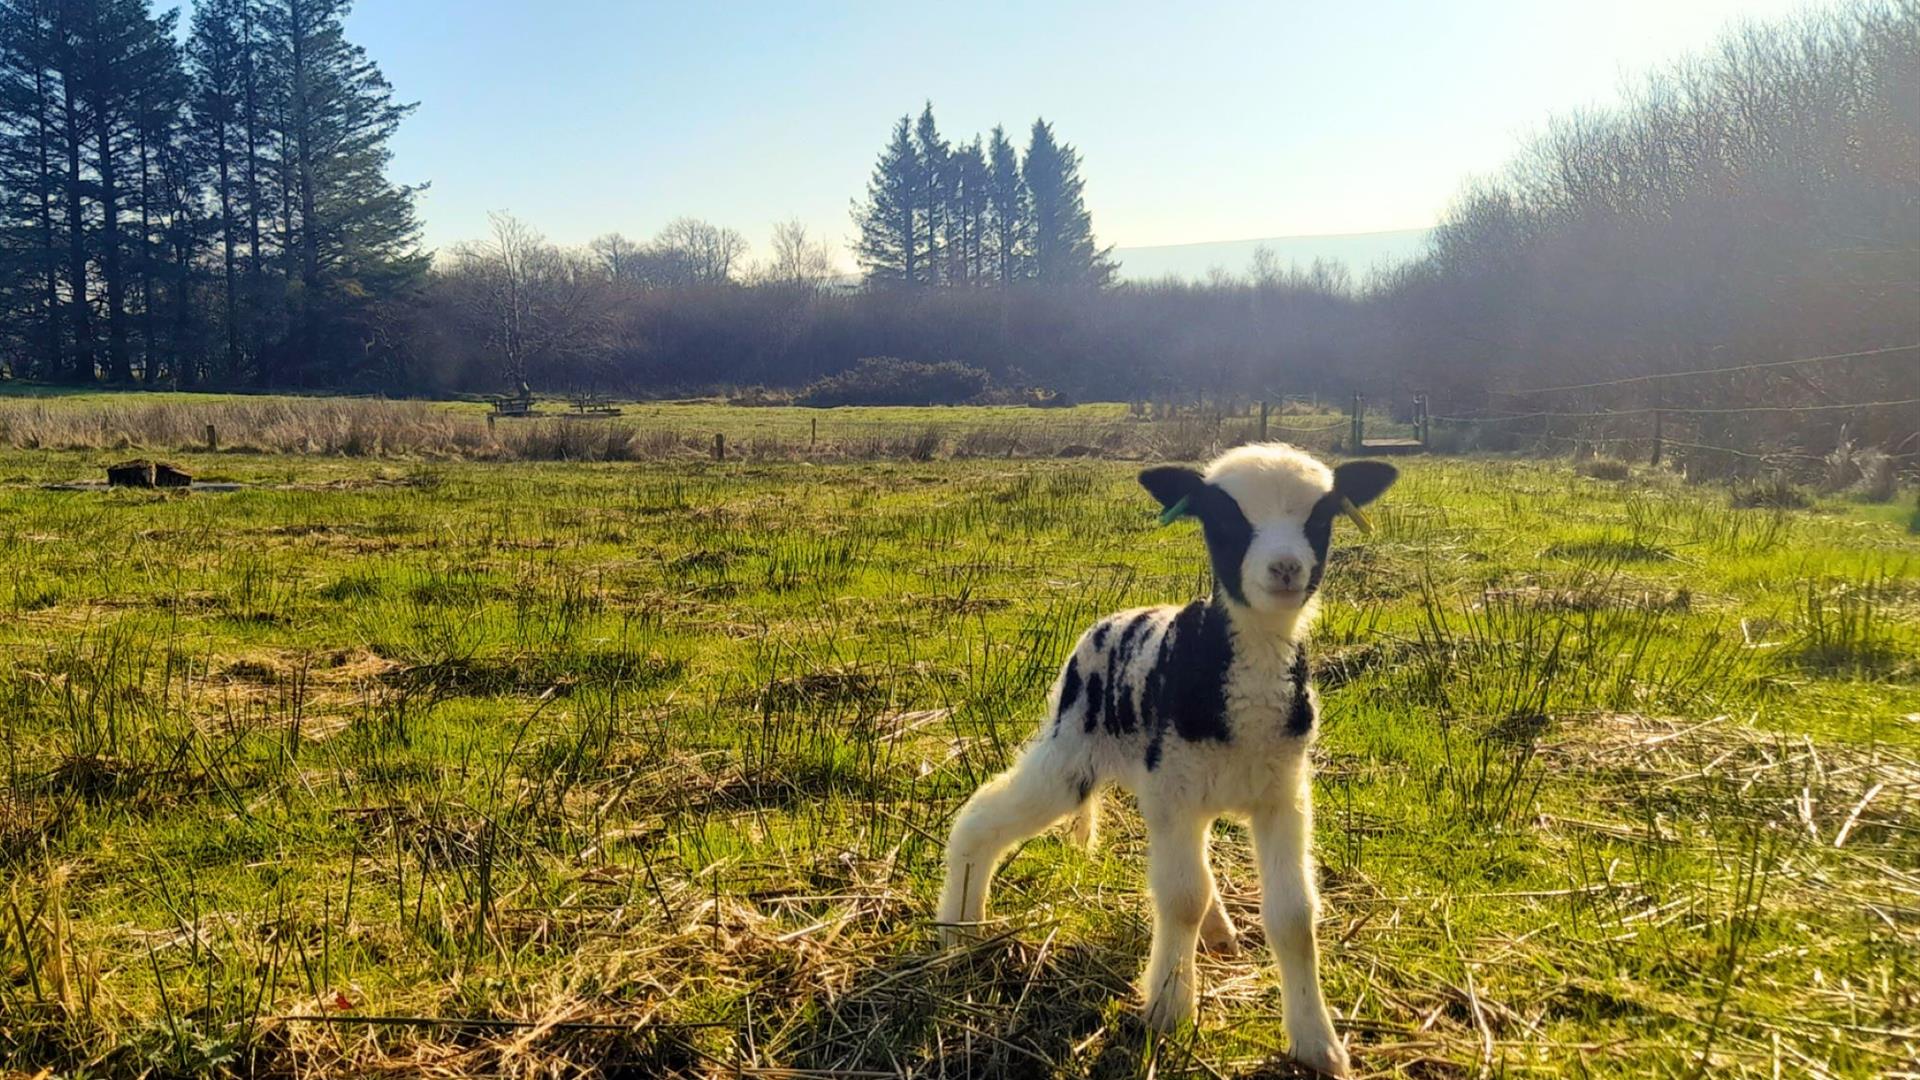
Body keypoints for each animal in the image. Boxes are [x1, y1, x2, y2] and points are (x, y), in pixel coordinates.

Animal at [935, 443, 1397, 1078]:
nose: (1285, 569)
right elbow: (1180, 900)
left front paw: (1316, 1042)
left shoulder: (1283, 793)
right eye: (1224, 518)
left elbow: (1294, 916)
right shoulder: (1176, 791)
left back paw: (1220, 931)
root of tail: (1107, 622)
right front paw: (1169, 1010)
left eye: (1322, 516)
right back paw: (958, 928)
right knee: (982, 815)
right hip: (1073, 749)